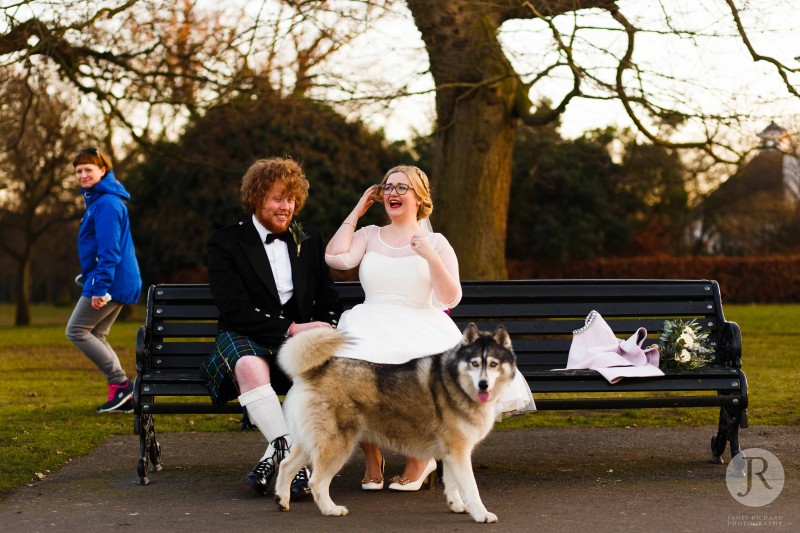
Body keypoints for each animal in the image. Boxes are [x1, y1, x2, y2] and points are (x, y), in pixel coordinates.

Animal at [272, 322, 516, 520]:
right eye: (474, 363)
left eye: (493, 364)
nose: (483, 384)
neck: (455, 383)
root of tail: (315, 371)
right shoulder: (458, 451)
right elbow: (471, 488)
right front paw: (481, 514)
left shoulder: (452, 453)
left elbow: (453, 484)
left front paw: (456, 505)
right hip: (337, 446)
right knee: (317, 482)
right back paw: (330, 509)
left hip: (311, 443)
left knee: (285, 466)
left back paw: (282, 500)